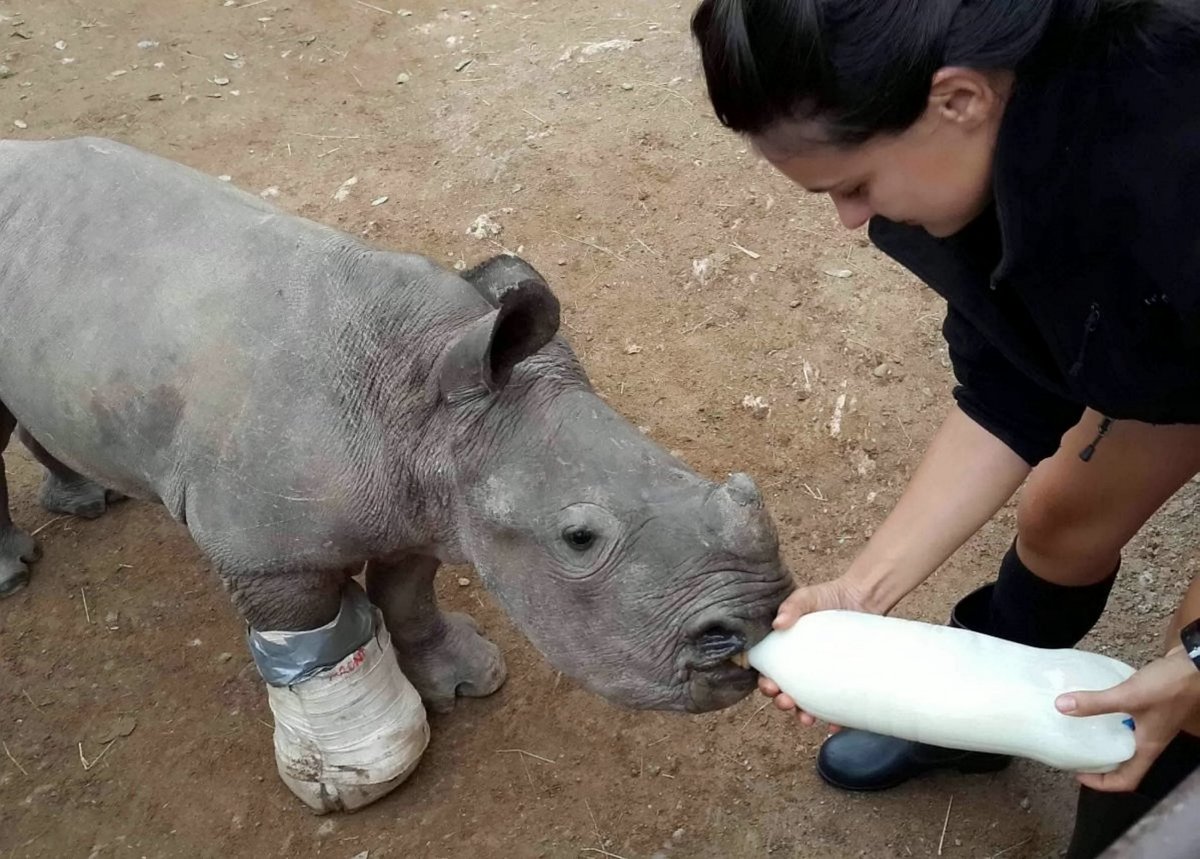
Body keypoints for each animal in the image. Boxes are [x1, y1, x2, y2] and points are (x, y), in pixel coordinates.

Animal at [0, 136, 792, 811]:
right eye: (578, 537)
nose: (758, 616)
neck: (421, 398)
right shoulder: (264, 550)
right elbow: (308, 637)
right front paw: (351, 770)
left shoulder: (422, 502)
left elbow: (407, 592)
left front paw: (463, 683)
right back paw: (16, 571)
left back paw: (87, 499)